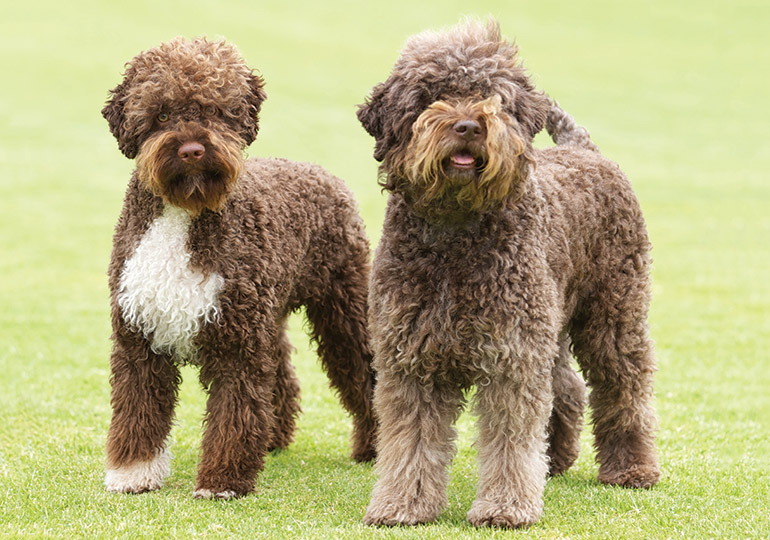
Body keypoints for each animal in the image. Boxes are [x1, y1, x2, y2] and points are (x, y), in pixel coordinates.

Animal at [100, 38, 376, 500]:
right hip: (272, 315)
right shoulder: (139, 335)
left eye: (216, 110)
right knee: (282, 376)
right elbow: (138, 409)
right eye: (161, 114)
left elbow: (234, 414)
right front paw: (133, 472)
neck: (183, 214)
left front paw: (222, 482)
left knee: (367, 373)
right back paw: (273, 439)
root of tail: (320, 171)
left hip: (344, 308)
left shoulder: (237, 343)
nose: (192, 150)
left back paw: (375, 447)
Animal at [356, 20, 656, 528]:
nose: (468, 125)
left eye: (490, 95)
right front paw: (402, 504)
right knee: (567, 387)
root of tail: (584, 151)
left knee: (625, 386)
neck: (456, 235)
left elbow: (510, 440)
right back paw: (555, 460)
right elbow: (411, 441)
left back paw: (632, 468)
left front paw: (505, 507)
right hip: (553, 325)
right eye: (431, 95)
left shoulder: (511, 359)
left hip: (612, 317)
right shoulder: (410, 359)